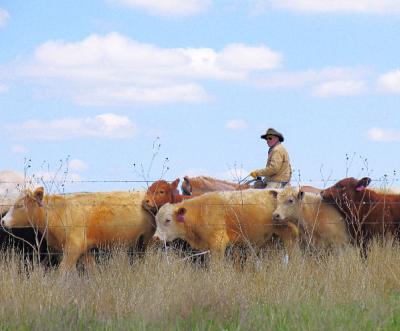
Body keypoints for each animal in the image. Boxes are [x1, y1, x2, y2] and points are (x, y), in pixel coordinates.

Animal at [3, 188, 156, 272]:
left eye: (20, 205)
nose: (2, 221)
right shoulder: (85, 251)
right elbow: (92, 270)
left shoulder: (73, 247)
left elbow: (63, 270)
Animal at [155, 191, 298, 260]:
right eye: (156, 220)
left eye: (168, 220)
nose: (156, 237)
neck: (200, 211)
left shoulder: (218, 243)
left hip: (290, 236)